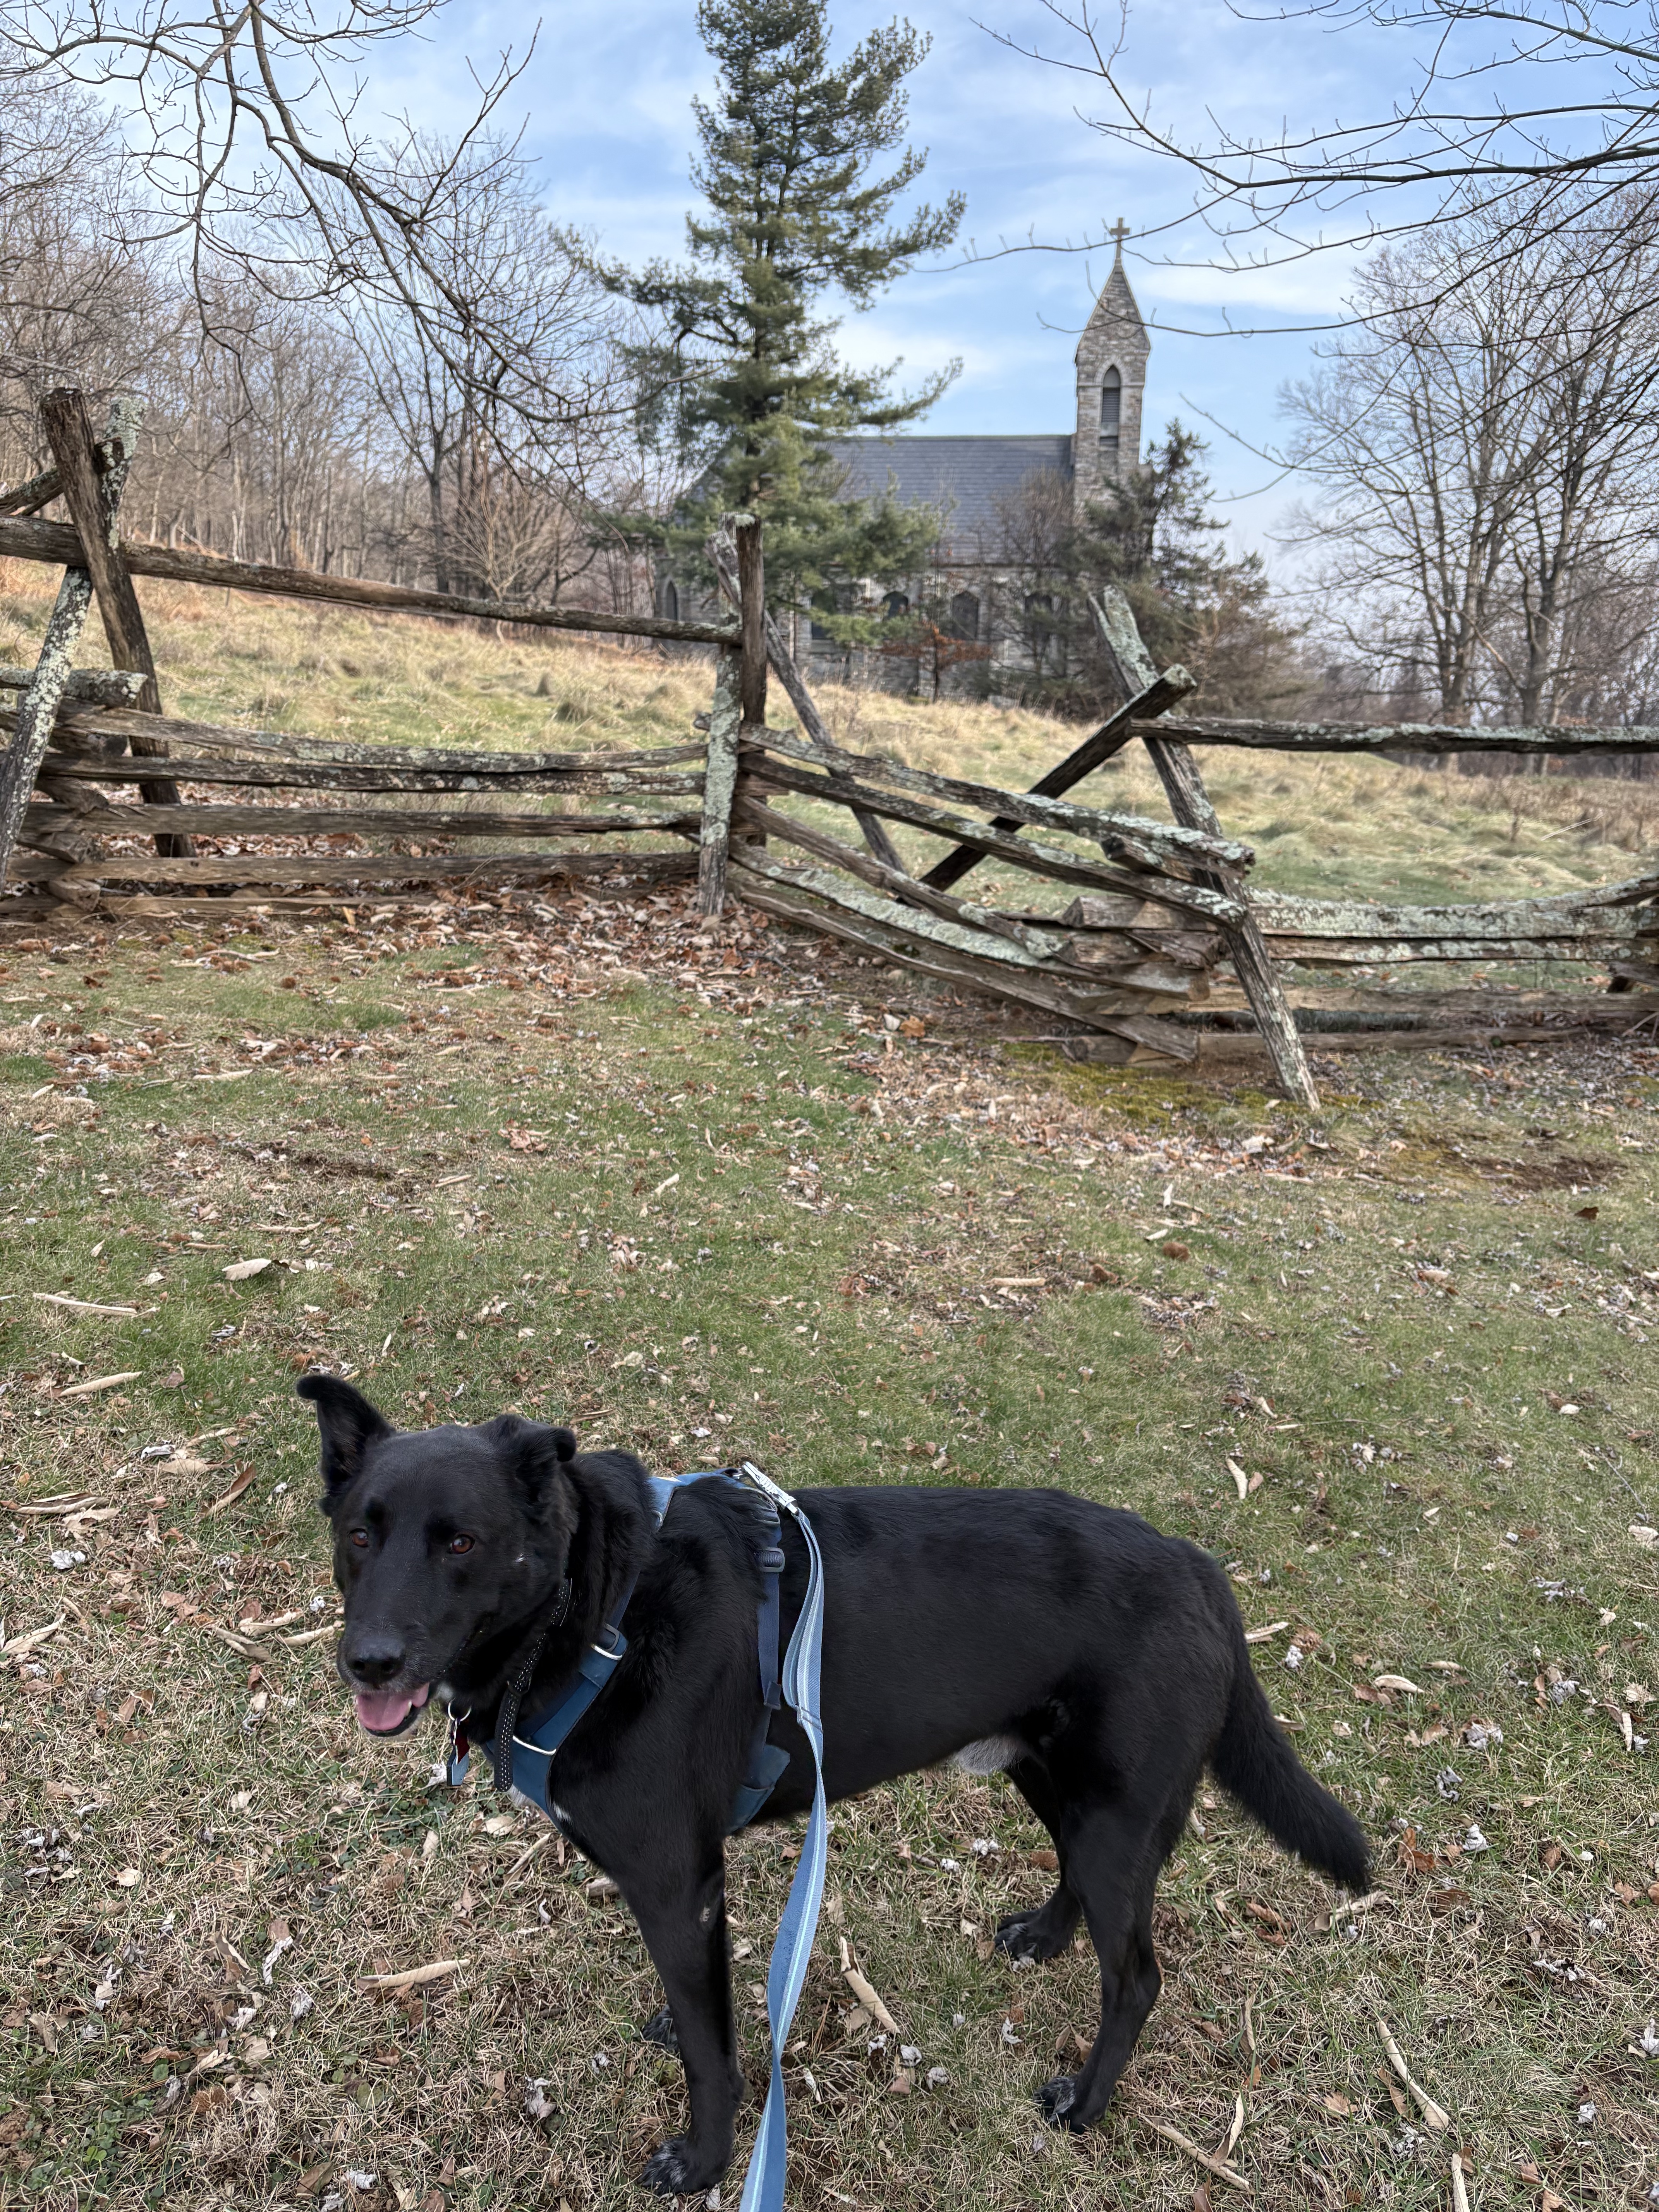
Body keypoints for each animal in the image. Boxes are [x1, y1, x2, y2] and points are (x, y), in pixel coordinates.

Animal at [305, 1380, 1371, 2194]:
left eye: (462, 1543)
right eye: (361, 1535)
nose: (370, 1662)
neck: (595, 1604)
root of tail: (1201, 1570)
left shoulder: (677, 1885)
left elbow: (711, 2055)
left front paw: (703, 2162)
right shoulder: (688, 1897)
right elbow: (698, 2006)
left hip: (1115, 1815)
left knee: (1138, 1979)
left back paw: (1088, 2101)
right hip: (1056, 1781)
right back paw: (1044, 1935)